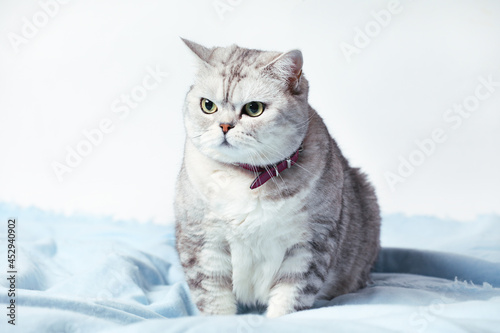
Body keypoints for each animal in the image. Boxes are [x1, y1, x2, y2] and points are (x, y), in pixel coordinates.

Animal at [174, 39, 380, 316]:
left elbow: (290, 297)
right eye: (208, 105)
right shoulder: (201, 241)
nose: (225, 126)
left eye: (254, 108)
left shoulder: (310, 244)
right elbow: (213, 297)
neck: (245, 177)